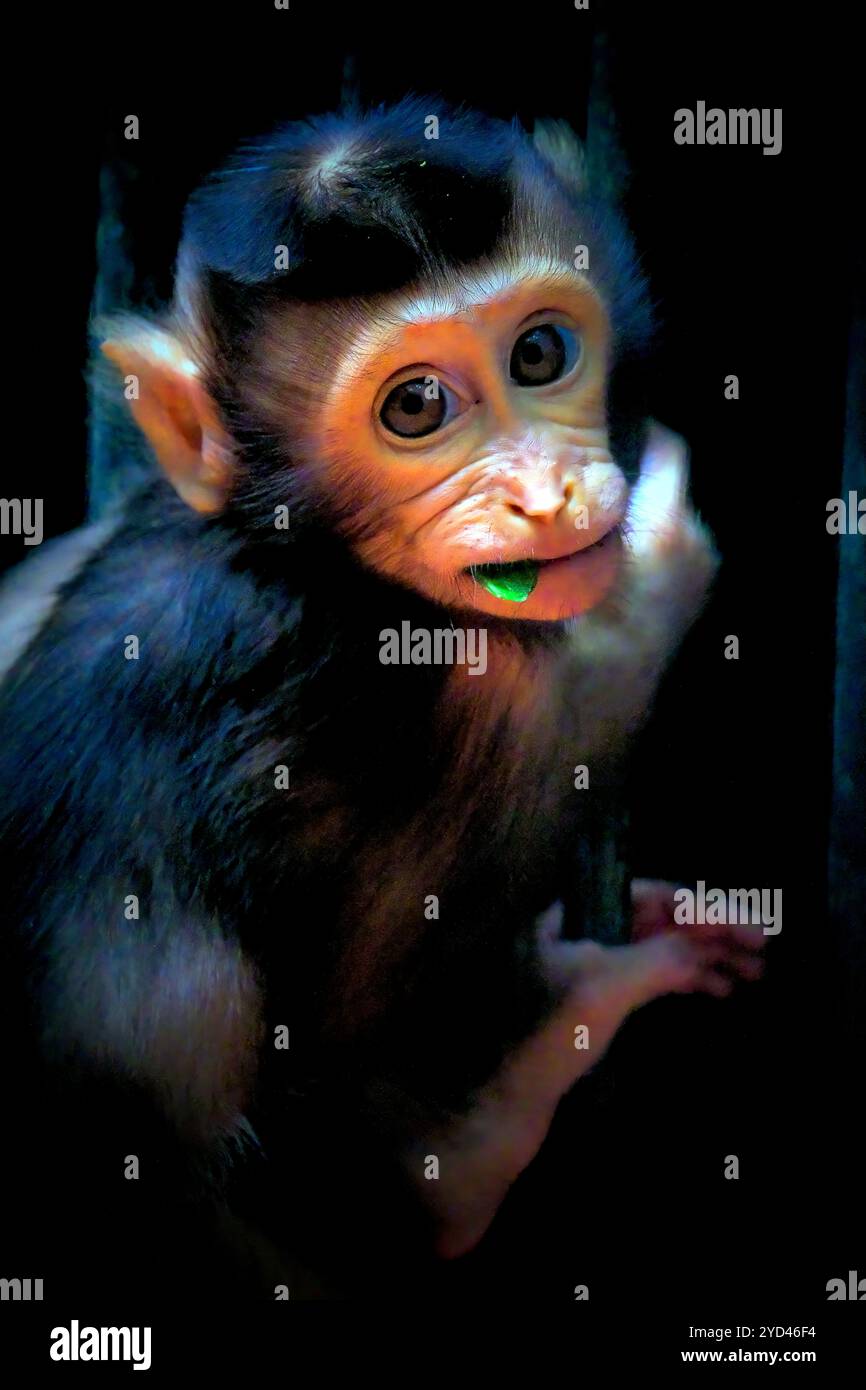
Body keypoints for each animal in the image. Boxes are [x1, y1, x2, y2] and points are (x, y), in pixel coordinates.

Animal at [0, 98, 765, 1294]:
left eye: (539, 352)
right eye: (416, 407)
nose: (544, 496)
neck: (297, 552)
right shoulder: (439, 672)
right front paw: (651, 577)